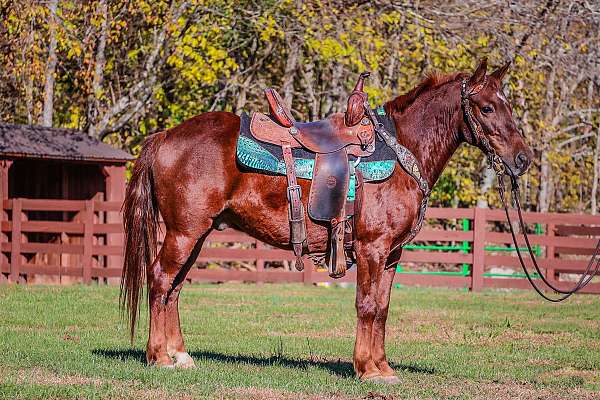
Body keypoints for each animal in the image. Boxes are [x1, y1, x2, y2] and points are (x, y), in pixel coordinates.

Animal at [120, 58, 528, 382]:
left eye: (506, 106)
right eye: (487, 108)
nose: (523, 159)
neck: (402, 153)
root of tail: (166, 135)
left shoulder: (391, 255)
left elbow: (382, 309)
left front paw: (383, 368)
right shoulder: (371, 249)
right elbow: (367, 305)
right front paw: (366, 370)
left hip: (197, 234)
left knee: (174, 289)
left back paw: (181, 355)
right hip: (183, 233)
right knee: (160, 280)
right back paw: (158, 358)